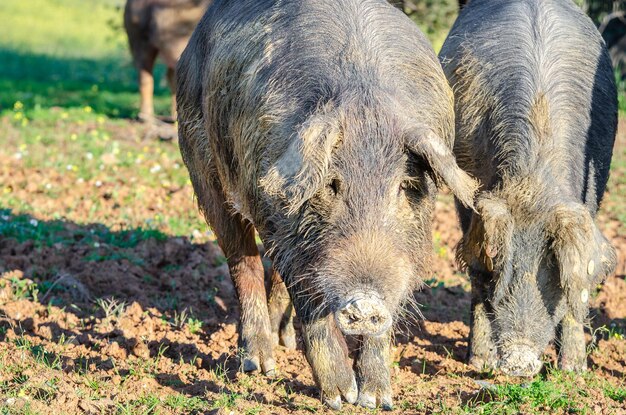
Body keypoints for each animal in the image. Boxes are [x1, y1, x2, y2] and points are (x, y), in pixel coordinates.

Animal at [173, 0, 476, 410]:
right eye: (332, 185)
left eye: (403, 187)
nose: (365, 302)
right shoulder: (278, 218)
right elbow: (308, 299)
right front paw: (339, 398)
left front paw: (377, 401)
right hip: (201, 164)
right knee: (242, 259)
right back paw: (259, 364)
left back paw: (284, 342)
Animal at [436, 0, 616, 376]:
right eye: (507, 265)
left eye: (550, 269)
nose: (519, 360)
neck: (533, 185)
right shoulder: (473, 202)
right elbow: (479, 271)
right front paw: (479, 363)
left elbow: (578, 278)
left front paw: (574, 371)